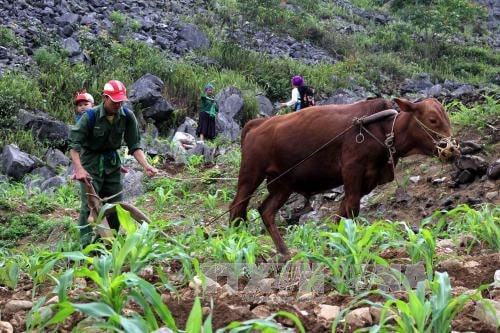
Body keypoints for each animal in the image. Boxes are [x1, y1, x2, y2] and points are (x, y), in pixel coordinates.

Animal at [230, 97, 458, 255]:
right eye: (432, 120)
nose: (453, 148)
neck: (383, 130)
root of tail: (256, 124)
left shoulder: (366, 181)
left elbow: (342, 213)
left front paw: (334, 242)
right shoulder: (352, 171)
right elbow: (352, 209)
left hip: (283, 184)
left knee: (266, 211)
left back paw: (285, 251)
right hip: (251, 175)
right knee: (236, 208)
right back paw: (234, 244)